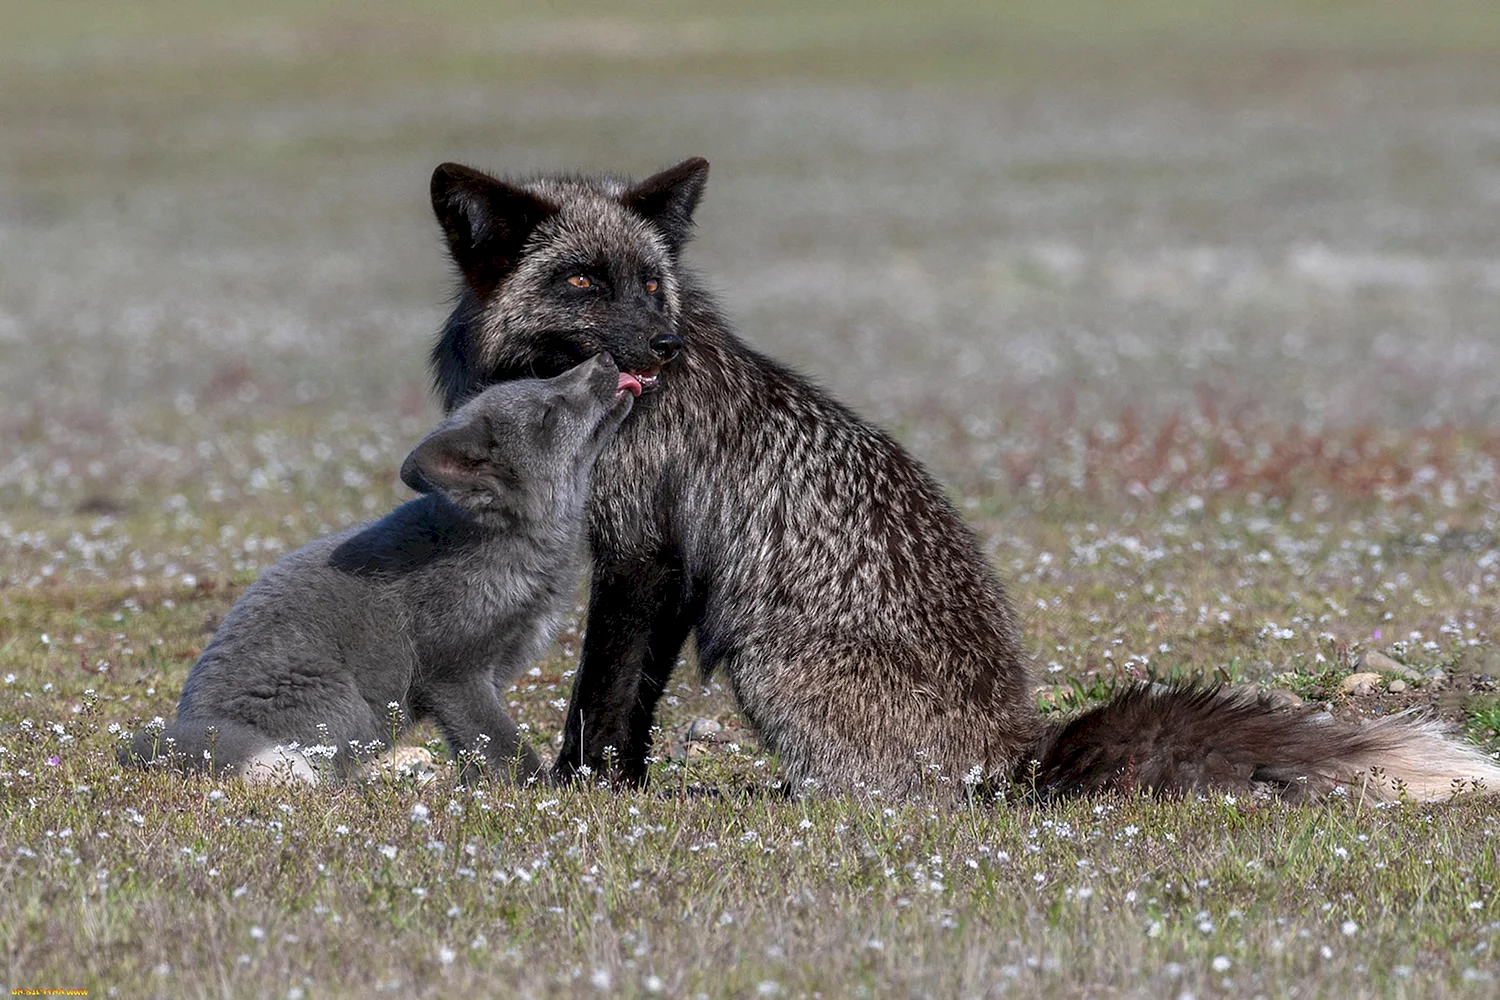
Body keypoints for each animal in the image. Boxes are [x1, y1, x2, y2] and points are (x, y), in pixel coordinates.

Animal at [426, 158, 1500, 797]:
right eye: (582, 282)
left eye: (651, 282)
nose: (663, 342)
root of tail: (1015, 751)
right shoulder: (664, 568)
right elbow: (633, 700)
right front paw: (614, 787)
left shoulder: (641, 552)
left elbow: (604, 698)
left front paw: (583, 789)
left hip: (770, 665)